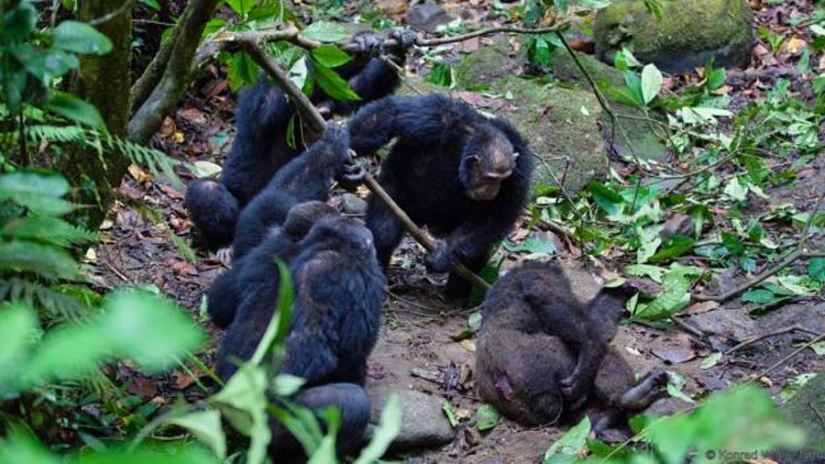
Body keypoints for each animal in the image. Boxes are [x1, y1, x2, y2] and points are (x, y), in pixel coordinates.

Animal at [188, 29, 418, 250]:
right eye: (319, 113)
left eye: (328, 114)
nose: (322, 119)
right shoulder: (261, 96)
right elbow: (272, 102)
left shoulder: (339, 97)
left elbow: (358, 91)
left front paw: (394, 45)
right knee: (206, 191)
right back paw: (225, 244)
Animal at [346, 93, 536, 300]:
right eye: (490, 178)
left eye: (503, 179)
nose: (494, 188)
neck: (462, 150)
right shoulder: (436, 115)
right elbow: (389, 116)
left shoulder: (520, 171)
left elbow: (497, 215)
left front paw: (443, 254)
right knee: (384, 230)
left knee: (476, 253)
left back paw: (455, 295)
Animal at [474, 260, 668, 436]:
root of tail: (504, 386)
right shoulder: (540, 281)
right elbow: (584, 326)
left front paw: (619, 292)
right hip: (541, 364)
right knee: (603, 355)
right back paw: (631, 396)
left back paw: (603, 422)